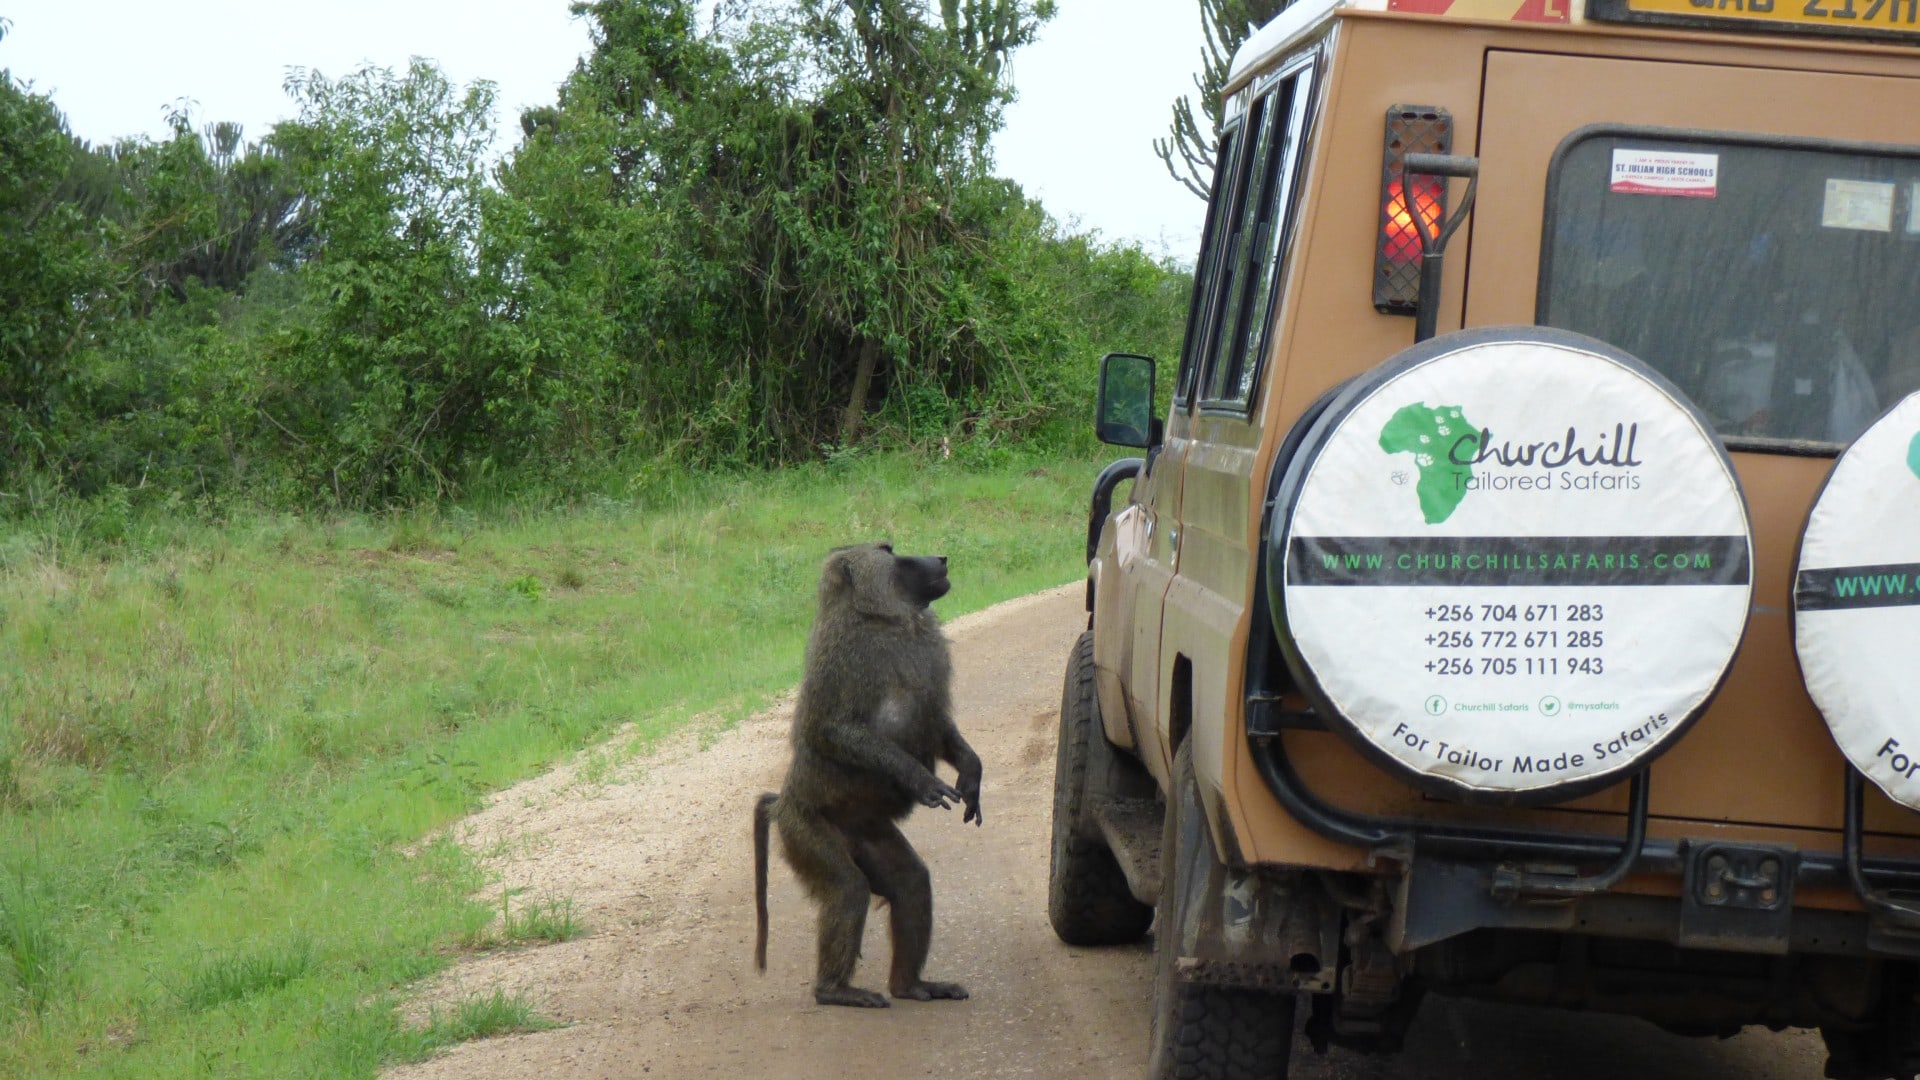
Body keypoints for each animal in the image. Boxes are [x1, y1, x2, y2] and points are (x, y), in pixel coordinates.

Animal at [753, 542, 984, 1008]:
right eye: (891, 552)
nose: (941, 559)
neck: (887, 617)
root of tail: (783, 803)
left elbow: (939, 726)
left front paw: (972, 773)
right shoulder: (850, 657)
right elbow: (834, 729)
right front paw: (920, 779)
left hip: (869, 832)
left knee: (911, 883)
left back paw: (912, 985)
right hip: (804, 829)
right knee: (848, 888)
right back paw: (835, 991)